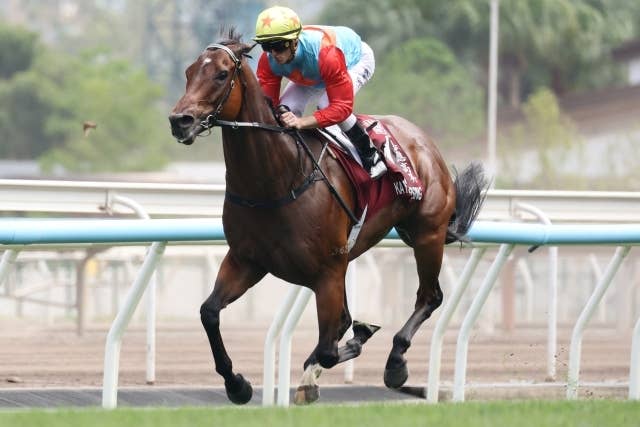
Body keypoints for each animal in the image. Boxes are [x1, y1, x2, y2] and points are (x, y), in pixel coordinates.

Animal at [168, 29, 487, 405]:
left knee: (430, 297)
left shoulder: (328, 271)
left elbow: (329, 350)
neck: (276, 181)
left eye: (221, 74)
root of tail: (423, 139)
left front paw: (322, 369)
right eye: (189, 72)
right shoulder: (247, 260)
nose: (180, 121)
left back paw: (396, 364)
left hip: (427, 234)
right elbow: (209, 313)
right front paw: (238, 384)